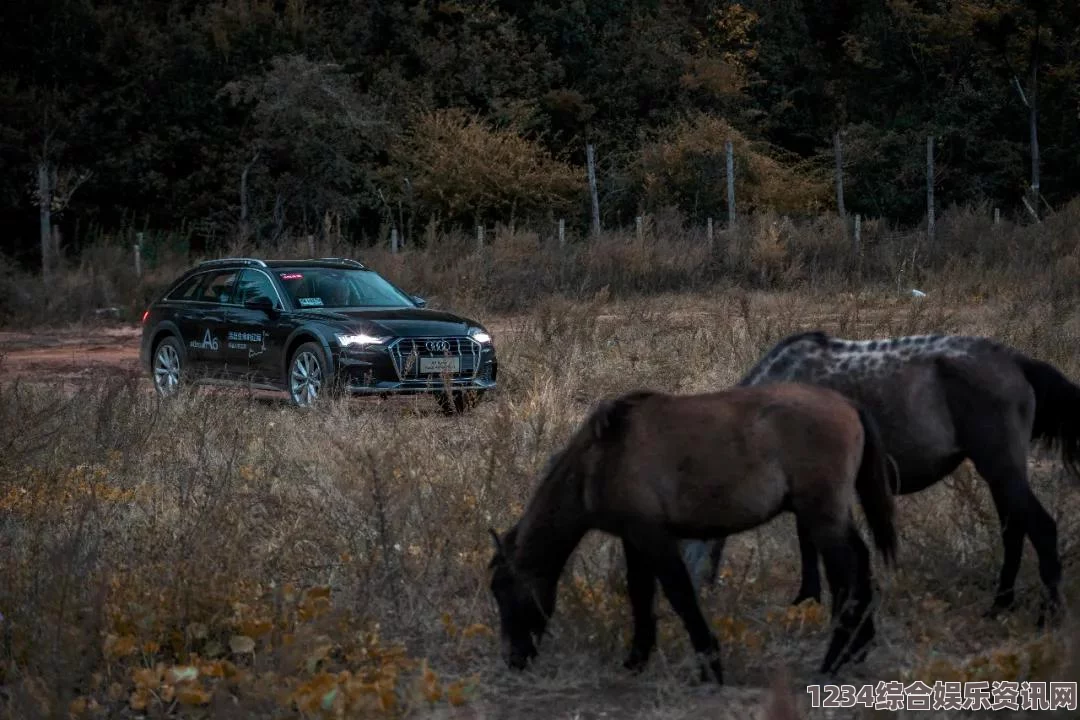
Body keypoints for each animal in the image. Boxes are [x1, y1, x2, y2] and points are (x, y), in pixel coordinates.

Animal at [486, 382, 898, 682]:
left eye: (504, 590)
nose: (512, 658)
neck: (599, 459)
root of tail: (846, 403)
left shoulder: (653, 537)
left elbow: (680, 594)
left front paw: (710, 665)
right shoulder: (634, 539)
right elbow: (640, 595)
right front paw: (636, 660)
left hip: (822, 517)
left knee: (847, 573)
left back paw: (835, 658)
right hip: (831, 516)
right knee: (860, 563)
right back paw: (857, 649)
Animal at [678, 330, 1080, 626]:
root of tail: (1015, 361)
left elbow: (810, 545)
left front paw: (809, 602)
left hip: (1000, 467)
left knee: (1042, 528)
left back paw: (1049, 614)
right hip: (999, 473)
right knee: (1014, 531)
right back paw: (999, 606)